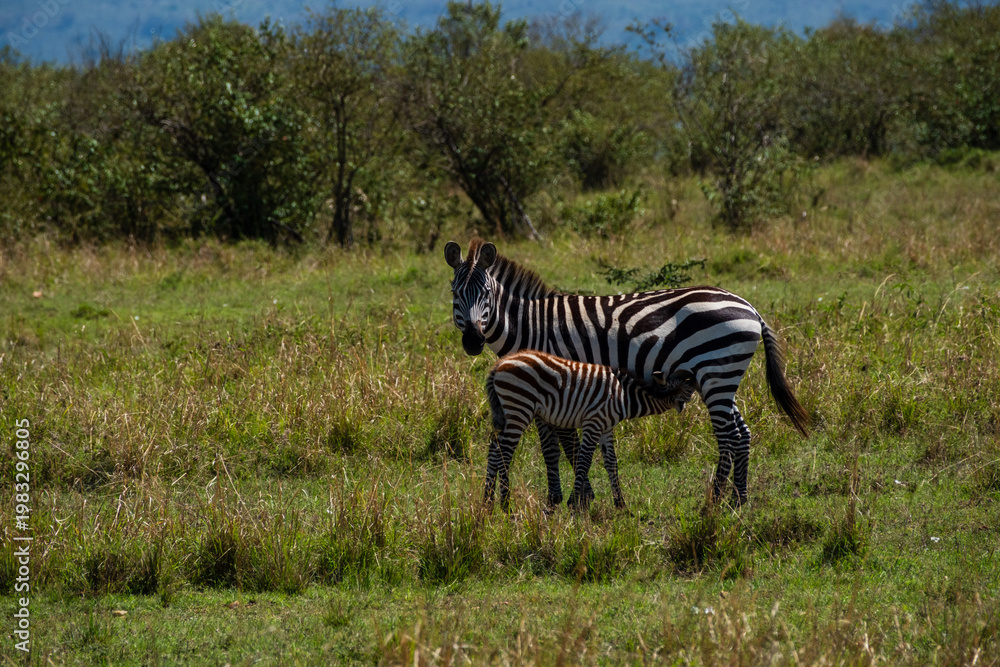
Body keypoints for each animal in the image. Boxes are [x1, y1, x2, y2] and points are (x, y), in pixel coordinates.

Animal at [485, 349, 697, 510]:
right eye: (690, 389)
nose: (689, 410)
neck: (624, 396)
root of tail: (499, 365)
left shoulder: (606, 428)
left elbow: (611, 462)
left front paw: (621, 505)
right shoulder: (593, 423)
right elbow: (584, 460)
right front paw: (574, 503)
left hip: (506, 413)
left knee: (494, 448)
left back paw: (487, 502)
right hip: (519, 408)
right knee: (504, 452)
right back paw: (506, 504)